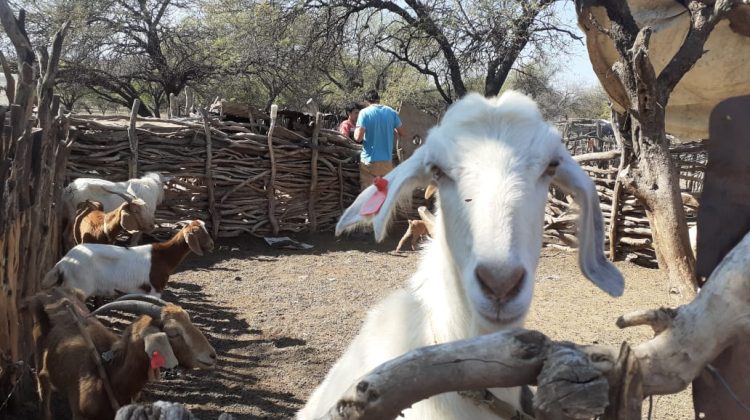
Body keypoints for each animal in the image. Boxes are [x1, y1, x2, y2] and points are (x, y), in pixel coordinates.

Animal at [27, 288, 216, 420]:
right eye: (173, 333)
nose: (212, 355)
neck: (109, 372)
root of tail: (49, 292)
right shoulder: (80, 414)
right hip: (40, 363)